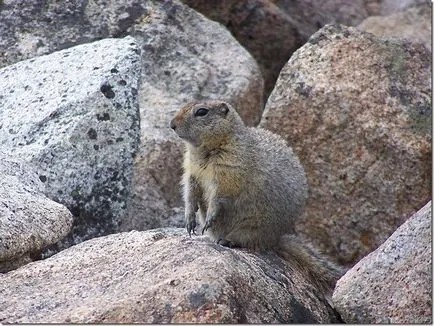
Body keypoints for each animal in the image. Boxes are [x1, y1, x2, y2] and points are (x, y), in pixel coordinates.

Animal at [170, 100, 342, 296]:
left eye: (201, 112)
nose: (172, 124)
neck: (204, 151)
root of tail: (278, 238)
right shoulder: (191, 170)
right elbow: (190, 192)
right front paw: (189, 220)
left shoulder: (230, 170)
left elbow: (220, 194)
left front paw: (209, 218)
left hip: (256, 225)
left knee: (248, 239)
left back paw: (228, 240)